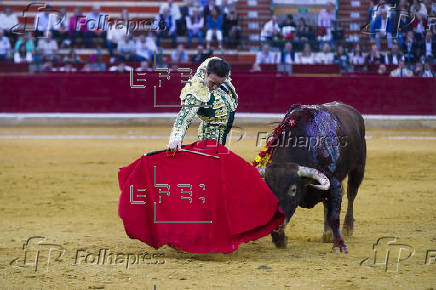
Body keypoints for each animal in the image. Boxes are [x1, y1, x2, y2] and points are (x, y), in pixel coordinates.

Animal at [264, 102, 366, 254]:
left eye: (293, 190)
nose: (277, 225)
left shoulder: (334, 183)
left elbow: (334, 217)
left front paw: (339, 245)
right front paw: (280, 239)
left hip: (358, 168)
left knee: (351, 195)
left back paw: (347, 228)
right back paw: (327, 234)